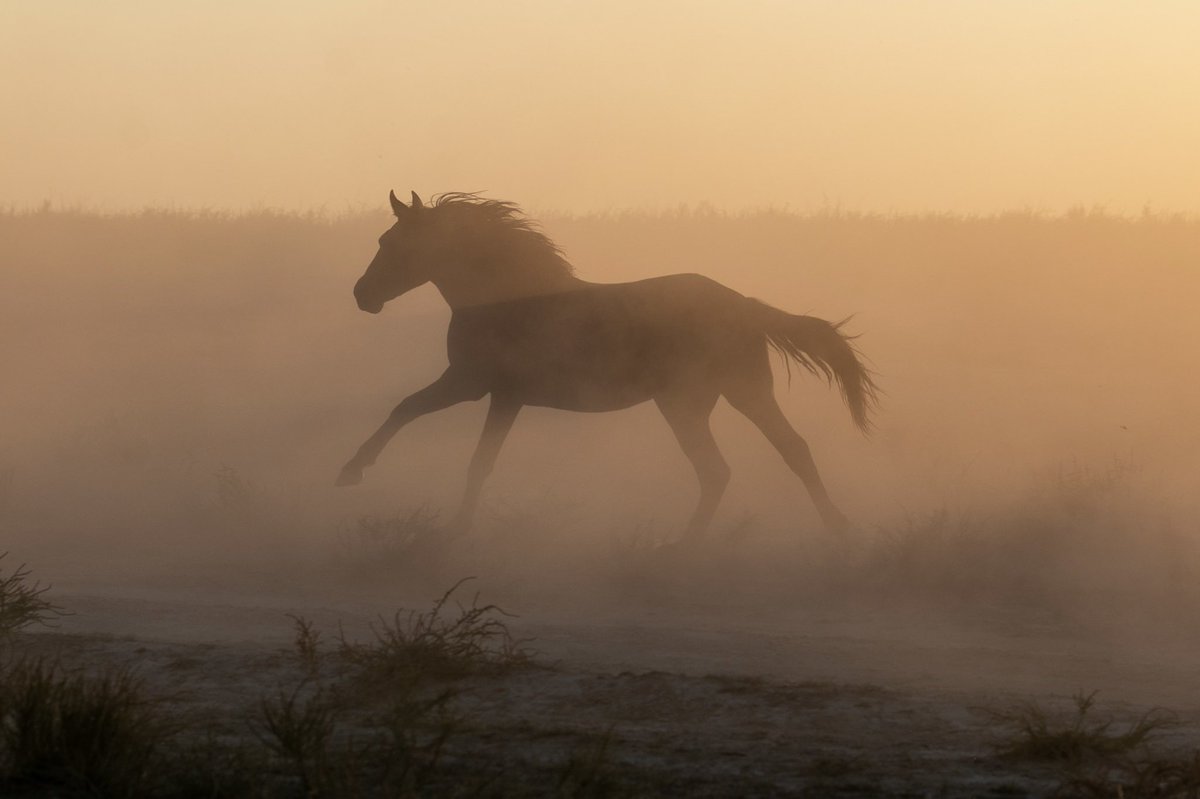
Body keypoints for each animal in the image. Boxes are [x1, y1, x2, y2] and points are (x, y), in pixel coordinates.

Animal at [336, 191, 878, 537]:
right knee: (787, 451)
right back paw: (837, 529)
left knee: (720, 469)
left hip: (691, 402)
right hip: (736, 394)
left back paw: (679, 550)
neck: (506, 299)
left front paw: (354, 473)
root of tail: (744, 305)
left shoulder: (474, 385)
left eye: (391, 243)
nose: (362, 295)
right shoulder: (499, 394)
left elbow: (423, 420)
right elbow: (458, 445)